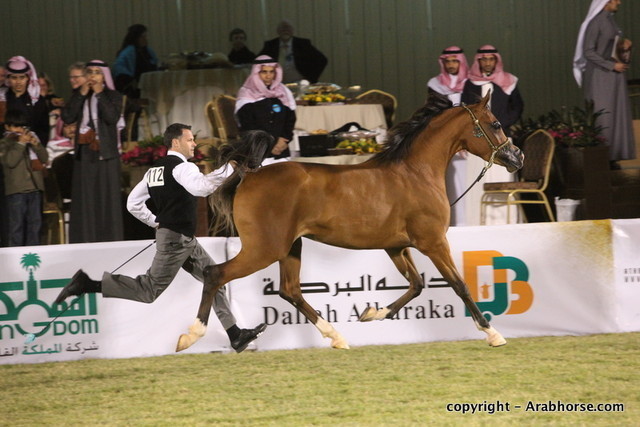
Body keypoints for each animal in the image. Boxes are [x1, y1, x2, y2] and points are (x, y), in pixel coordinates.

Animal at [176, 93, 524, 351]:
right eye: (495, 124)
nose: (517, 157)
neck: (416, 173)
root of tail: (250, 174)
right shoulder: (434, 242)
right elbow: (458, 284)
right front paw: (493, 333)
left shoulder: (397, 247)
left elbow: (416, 285)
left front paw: (372, 314)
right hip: (264, 248)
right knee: (216, 274)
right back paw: (194, 336)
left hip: (290, 247)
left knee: (290, 290)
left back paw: (336, 337)